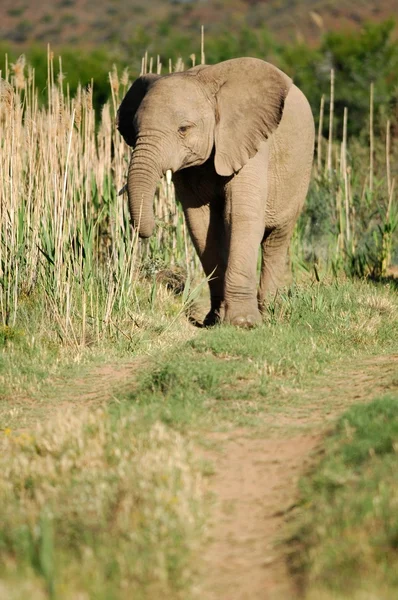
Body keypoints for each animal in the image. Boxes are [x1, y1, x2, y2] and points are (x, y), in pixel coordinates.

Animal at [116, 56, 316, 328]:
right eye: (135, 131)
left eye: (184, 129)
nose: (149, 229)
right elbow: (200, 224)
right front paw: (214, 320)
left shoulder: (247, 141)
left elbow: (240, 216)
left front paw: (243, 323)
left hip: (300, 171)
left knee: (277, 239)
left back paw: (271, 311)